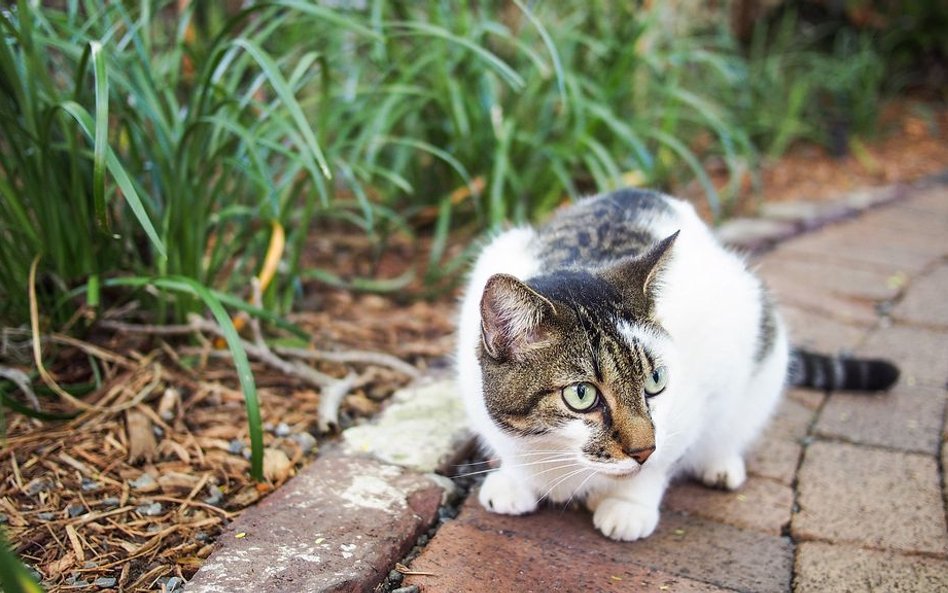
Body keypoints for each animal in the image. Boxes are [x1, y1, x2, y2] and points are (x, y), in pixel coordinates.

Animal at [456, 188, 900, 540]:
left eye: (655, 381)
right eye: (581, 395)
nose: (642, 449)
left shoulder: (700, 391)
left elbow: (665, 459)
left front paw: (629, 505)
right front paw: (516, 480)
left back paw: (720, 463)